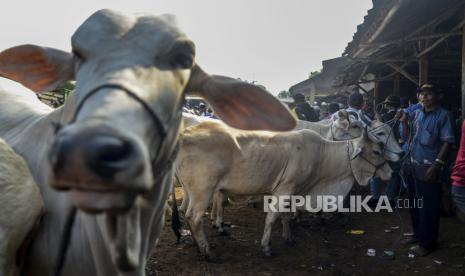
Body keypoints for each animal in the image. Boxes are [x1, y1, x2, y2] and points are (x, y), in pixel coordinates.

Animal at [174, 120, 398, 258]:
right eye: (376, 151)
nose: (391, 172)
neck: (323, 156)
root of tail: (185, 134)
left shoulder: (293, 192)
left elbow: (286, 216)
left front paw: (288, 237)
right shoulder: (285, 190)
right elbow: (272, 217)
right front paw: (266, 247)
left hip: (191, 190)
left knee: (185, 212)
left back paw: (198, 245)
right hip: (203, 190)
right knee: (194, 217)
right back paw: (208, 252)